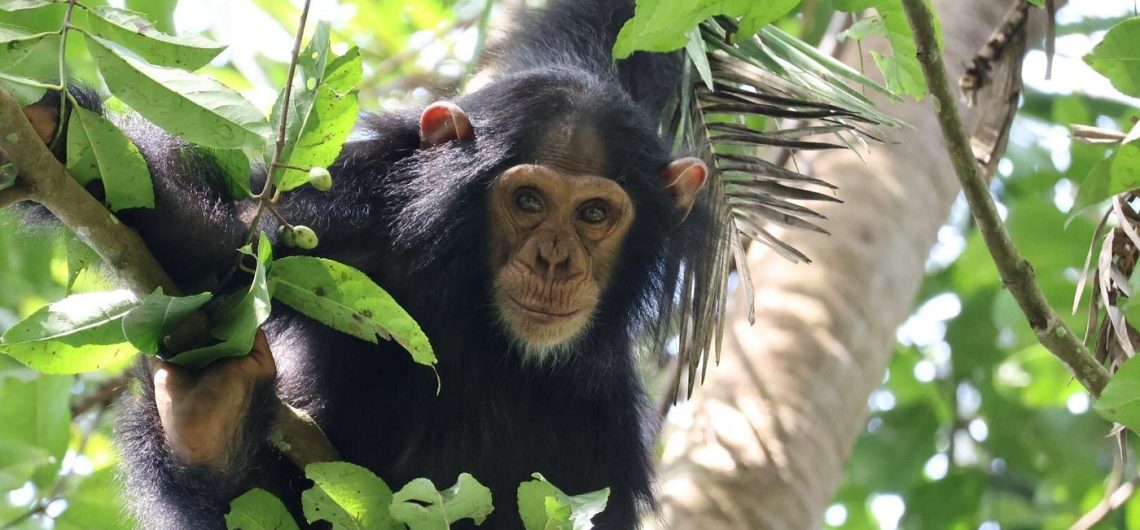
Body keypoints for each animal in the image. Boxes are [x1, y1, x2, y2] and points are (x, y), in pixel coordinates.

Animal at [24, 0, 718, 528]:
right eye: (528, 201)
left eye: (594, 215)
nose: (555, 260)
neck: (486, 329)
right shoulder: (342, 232)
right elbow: (217, 242)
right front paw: (53, 130)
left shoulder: (599, 454)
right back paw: (207, 424)